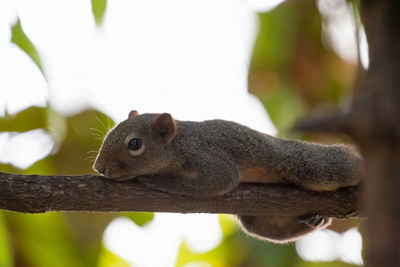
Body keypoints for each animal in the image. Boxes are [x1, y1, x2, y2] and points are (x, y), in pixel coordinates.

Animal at [94, 110, 362, 244]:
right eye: (109, 134)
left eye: (135, 144)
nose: (99, 167)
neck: (179, 144)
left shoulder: (210, 159)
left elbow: (220, 180)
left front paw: (159, 181)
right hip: (257, 218)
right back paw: (318, 218)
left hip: (315, 167)